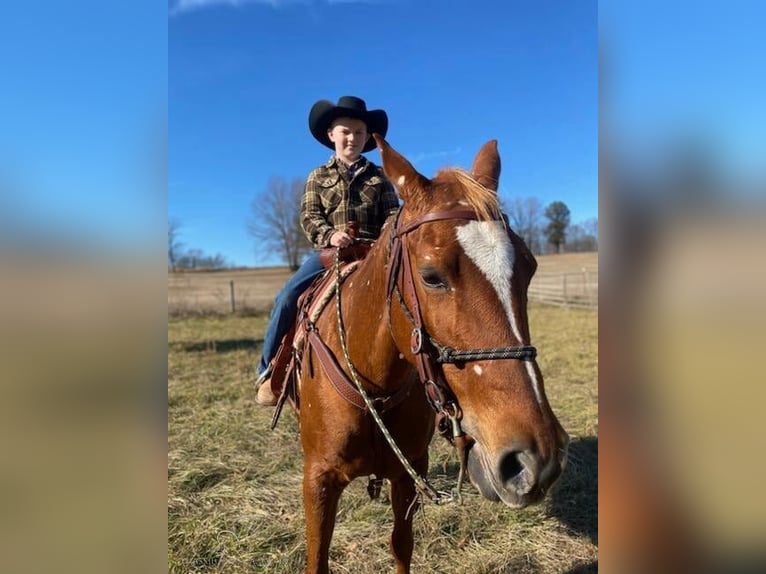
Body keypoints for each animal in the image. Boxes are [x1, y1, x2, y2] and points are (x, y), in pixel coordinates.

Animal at [294, 136, 568, 574]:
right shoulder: (318, 481)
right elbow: (317, 559)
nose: (536, 459)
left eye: (529, 267)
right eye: (431, 276)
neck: (373, 385)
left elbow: (401, 546)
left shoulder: (408, 475)